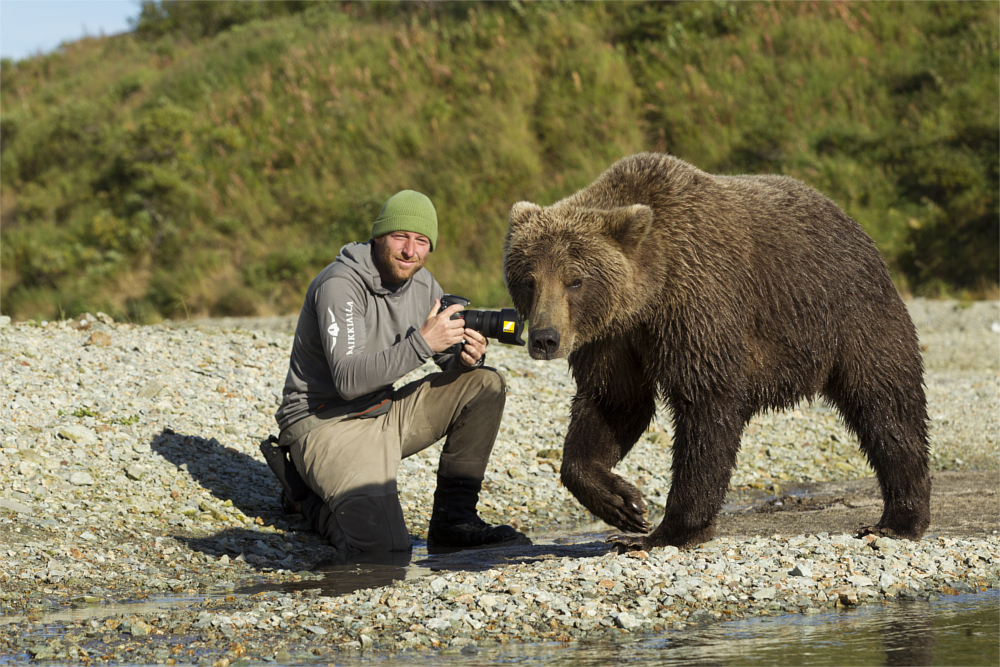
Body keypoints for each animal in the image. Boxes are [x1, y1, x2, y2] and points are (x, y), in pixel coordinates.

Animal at [504, 154, 932, 552]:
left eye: (575, 280)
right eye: (529, 279)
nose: (545, 338)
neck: (649, 296)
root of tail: (852, 223)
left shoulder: (698, 304)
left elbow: (707, 410)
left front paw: (666, 531)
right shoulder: (612, 338)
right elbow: (613, 404)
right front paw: (624, 505)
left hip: (850, 313)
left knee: (885, 406)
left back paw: (898, 520)